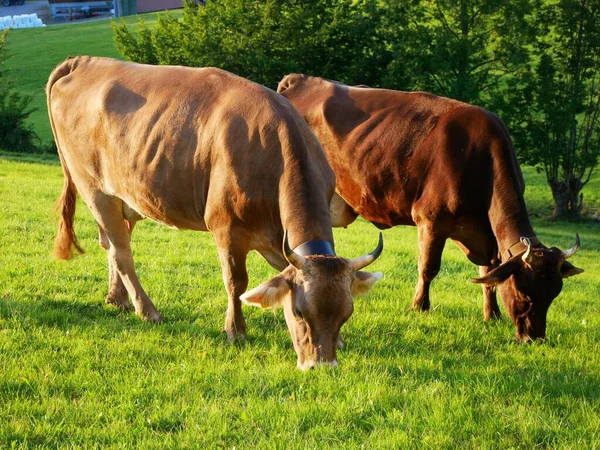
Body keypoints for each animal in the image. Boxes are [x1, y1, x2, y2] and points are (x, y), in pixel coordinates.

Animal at [48, 57, 384, 370]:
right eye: (299, 312)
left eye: (347, 313)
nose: (320, 365)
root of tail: (85, 61)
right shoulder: (227, 228)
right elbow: (237, 282)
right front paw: (235, 330)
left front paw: (339, 342)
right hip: (95, 190)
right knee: (121, 253)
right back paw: (148, 310)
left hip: (126, 197)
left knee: (111, 245)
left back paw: (117, 299)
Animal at [278, 74, 584, 342]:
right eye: (524, 294)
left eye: (553, 295)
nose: (534, 338)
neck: (480, 161)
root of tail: (299, 79)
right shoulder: (431, 220)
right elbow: (428, 268)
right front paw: (419, 307)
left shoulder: (484, 234)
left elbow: (488, 273)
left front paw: (492, 314)